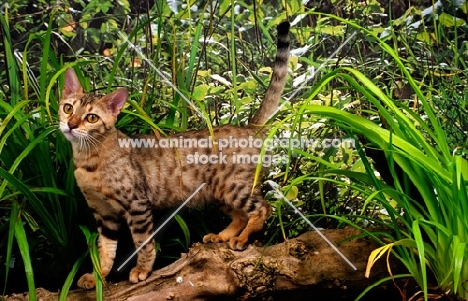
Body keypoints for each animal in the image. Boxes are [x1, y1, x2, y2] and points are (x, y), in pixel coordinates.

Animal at [59, 21, 288, 288]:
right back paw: (223, 236)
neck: (88, 159)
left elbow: (143, 243)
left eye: (92, 117)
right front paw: (99, 275)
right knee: (241, 215)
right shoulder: (104, 215)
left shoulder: (137, 206)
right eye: (68, 108)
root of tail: (249, 127)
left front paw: (142, 270)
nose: (71, 125)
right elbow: (105, 249)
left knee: (263, 209)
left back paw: (243, 238)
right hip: (218, 191)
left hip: (234, 186)